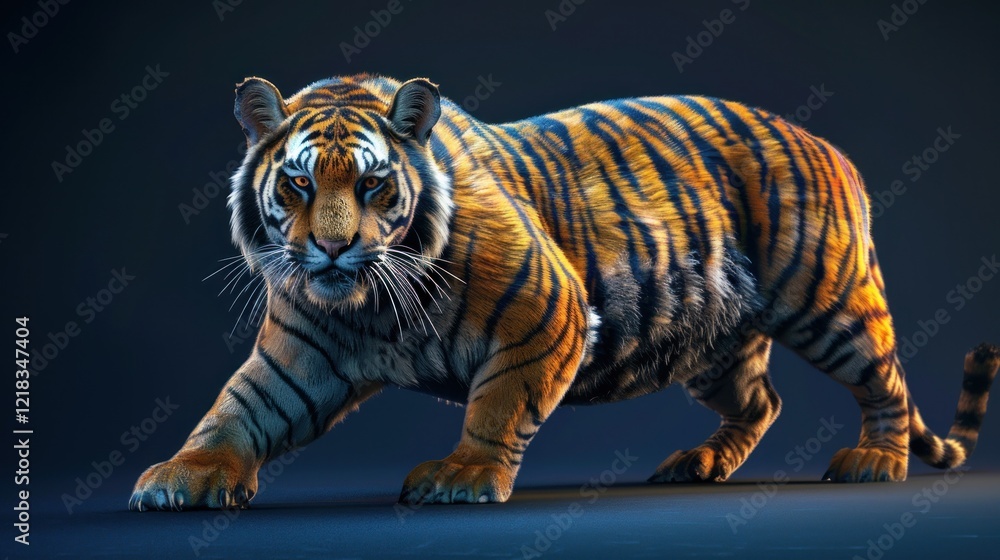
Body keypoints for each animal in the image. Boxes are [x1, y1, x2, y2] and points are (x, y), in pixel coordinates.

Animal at [130, 73, 998, 510]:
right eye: (301, 184)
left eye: (375, 186)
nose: (334, 247)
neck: (368, 304)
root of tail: (831, 146)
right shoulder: (301, 352)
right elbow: (237, 411)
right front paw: (182, 476)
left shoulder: (542, 309)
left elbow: (499, 403)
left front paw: (464, 477)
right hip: (714, 347)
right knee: (764, 401)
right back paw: (700, 463)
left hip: (829, 300)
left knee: (886, 380)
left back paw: (875, 461)